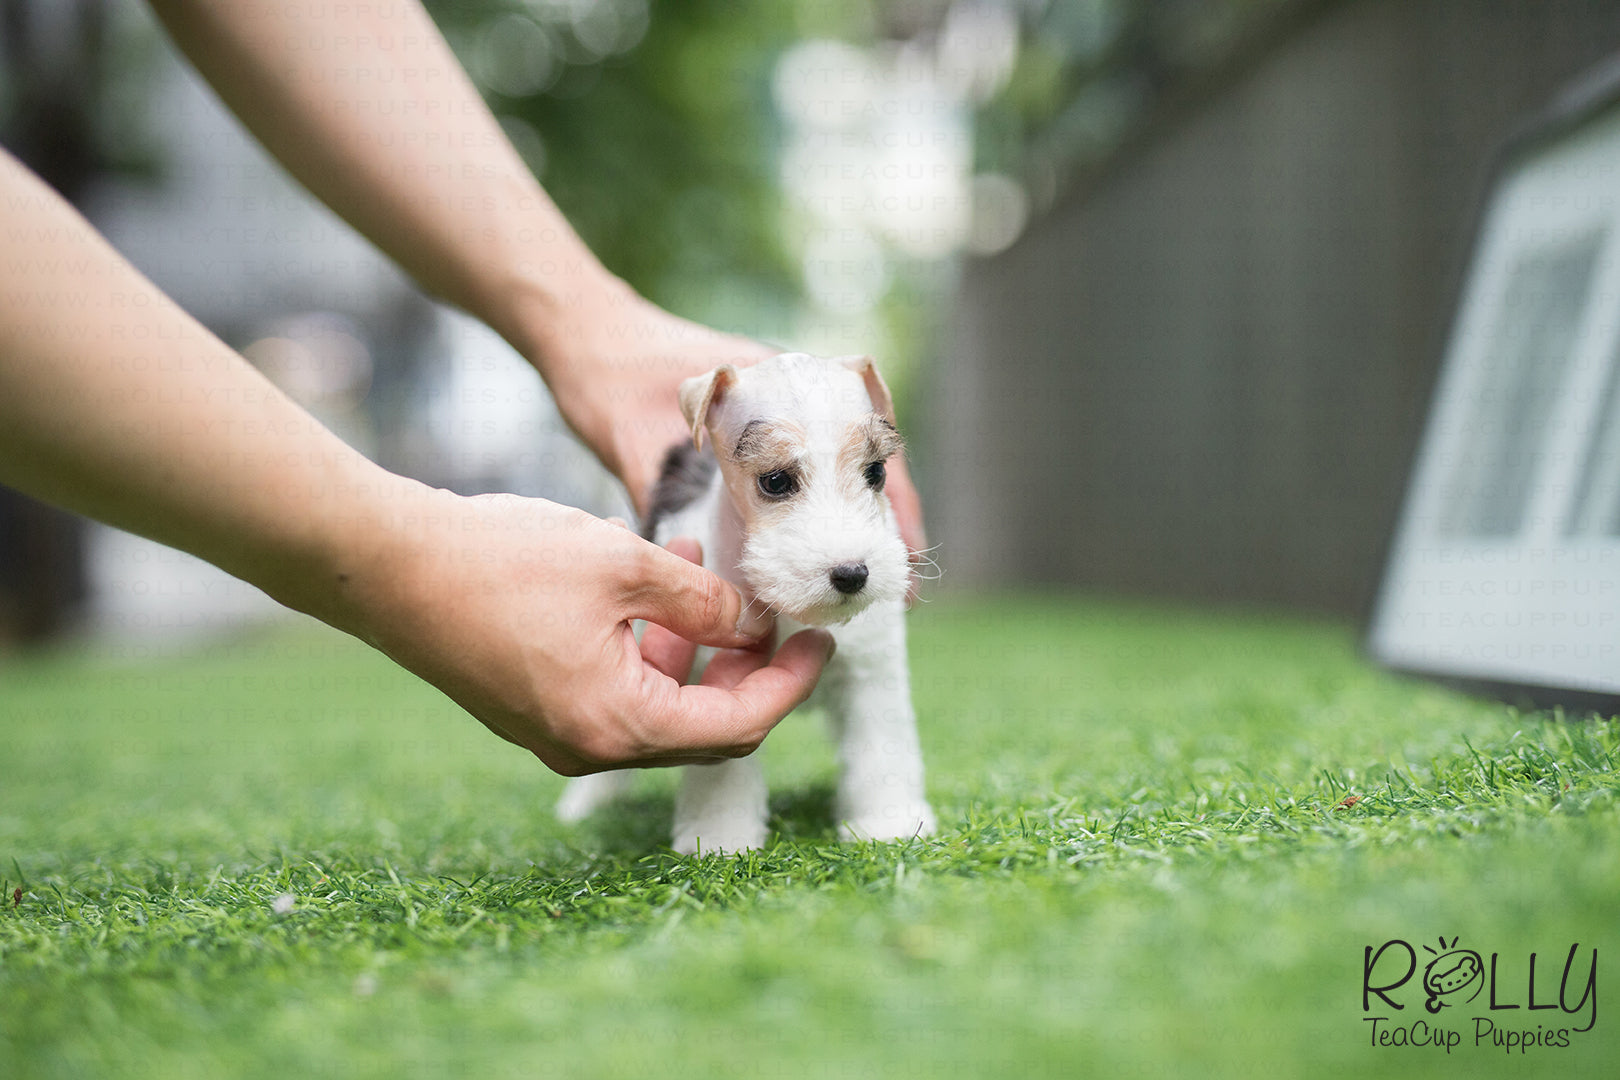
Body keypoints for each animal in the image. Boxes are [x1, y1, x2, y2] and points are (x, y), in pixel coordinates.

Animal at [557, 352, 939, 854]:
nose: (852, 574)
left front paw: (888, 823)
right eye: (775, 480)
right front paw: (720, 837)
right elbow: (722, 776)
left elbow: (880, 752)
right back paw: (585, 804)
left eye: (876, 472)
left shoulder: (872, 675)